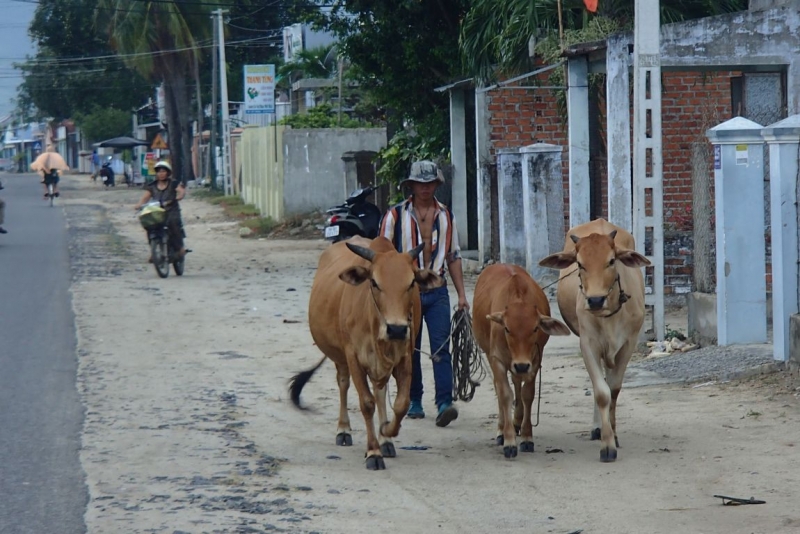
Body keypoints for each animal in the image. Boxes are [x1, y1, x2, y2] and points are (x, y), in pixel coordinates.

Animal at [290, 237, 440, 472]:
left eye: (411, 283)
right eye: (374, 283)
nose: (396, 329)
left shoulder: (405, 357)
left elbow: (401, 404)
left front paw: (386, 432)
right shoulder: (353, 357)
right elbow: (367, 403)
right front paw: (373, 452)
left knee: (380, 391)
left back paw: (385, 440)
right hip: (341, 357)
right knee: (343, 383)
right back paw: (343, 429)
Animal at [472, 264, 572, 460]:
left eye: (535, 328)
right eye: (506, 328)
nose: (521, 364)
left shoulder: (534, 361)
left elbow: (527, 394)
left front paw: (526, 437)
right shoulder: (497, 359)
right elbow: (504, 394)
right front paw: (509, 441)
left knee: (517, 384)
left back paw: (517, 421)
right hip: (492, 355)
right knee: (500, 388)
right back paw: (502, 429)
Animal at [536, 221, 648, 464]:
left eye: (612, 260)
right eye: (580, 264)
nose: (595, 300)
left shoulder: (628, 344)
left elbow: (613, 390)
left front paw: (614, 435)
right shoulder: (588, 345)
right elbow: (602, 393)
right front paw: (607, 444)